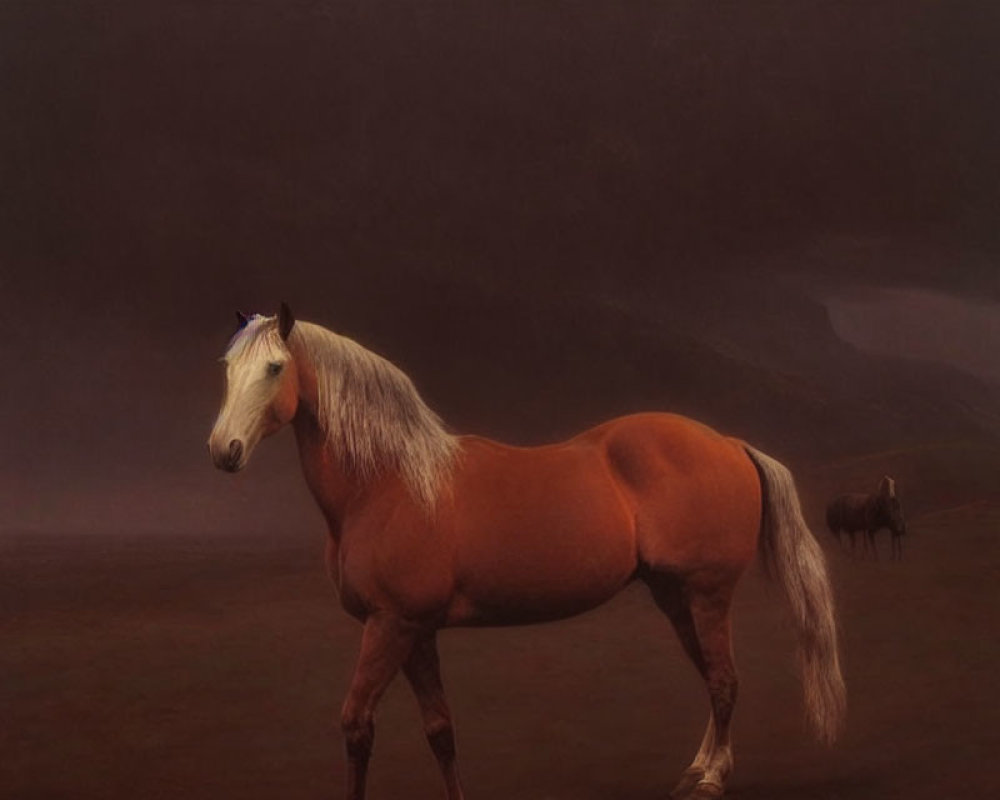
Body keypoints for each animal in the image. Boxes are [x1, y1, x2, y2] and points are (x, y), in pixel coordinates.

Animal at [209, 306, 844, 800]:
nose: (223, 450)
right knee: (712, 677)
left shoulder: (391, 626)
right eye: (227, 368)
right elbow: (440, 730)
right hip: (674, 596)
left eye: (274, 368)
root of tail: (729, 443)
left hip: (707, 594)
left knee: (724, 681)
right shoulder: (415, 631)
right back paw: (696, 769)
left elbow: (357, 725)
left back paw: (713, 779)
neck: (390, 483)